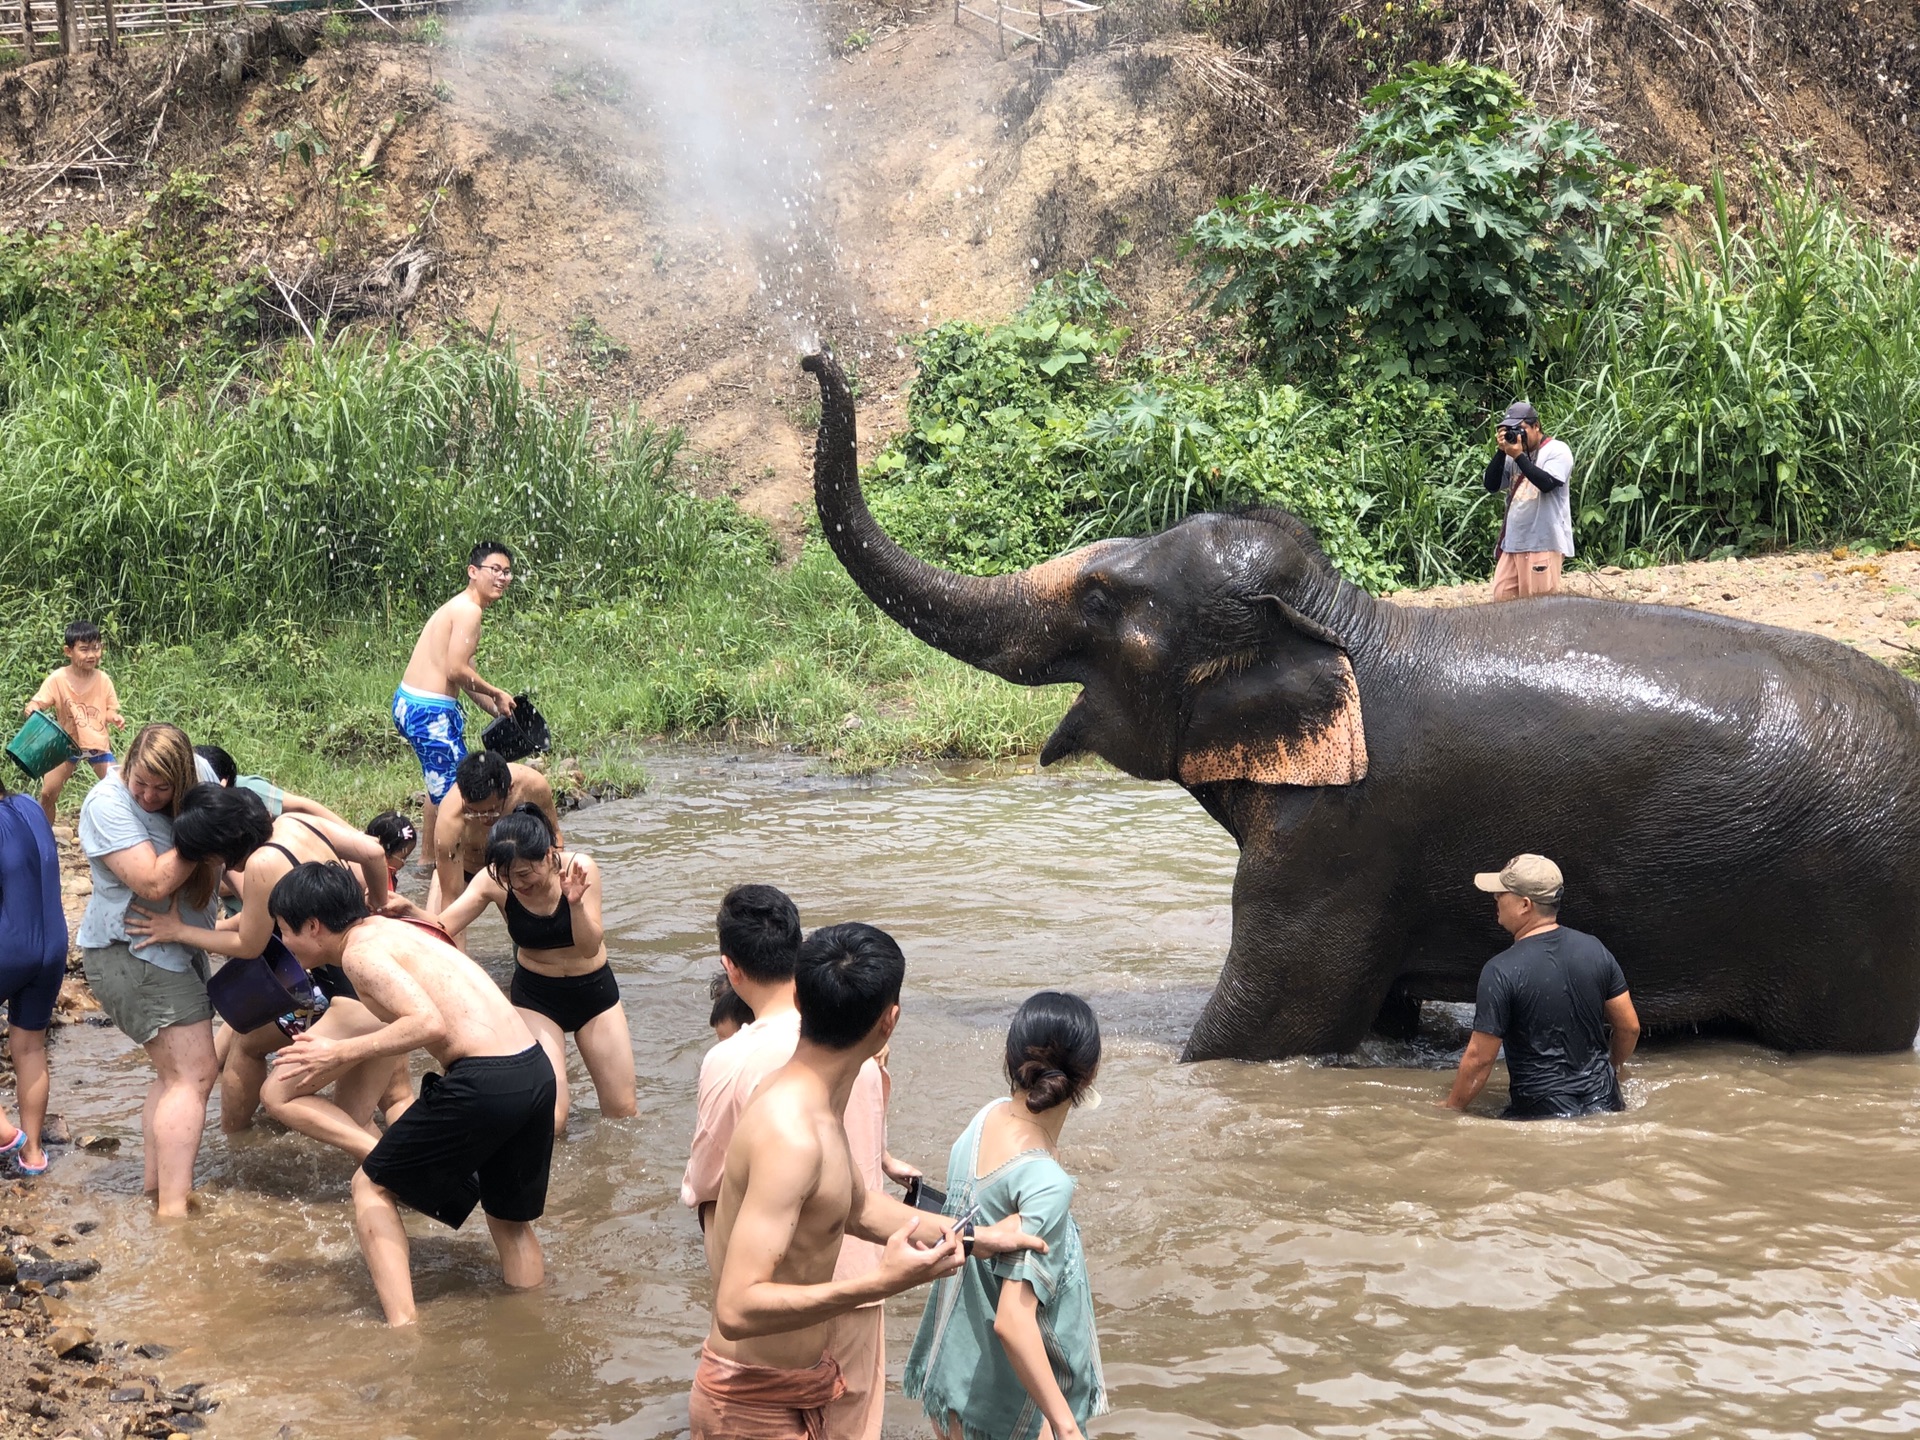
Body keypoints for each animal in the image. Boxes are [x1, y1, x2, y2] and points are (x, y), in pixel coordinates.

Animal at [798, 355, 1920, 1067]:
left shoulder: (1341, 840)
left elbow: (1261, 1032)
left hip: (1853, 904)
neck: (1348, 624)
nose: (812, 355)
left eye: (1107, 599)